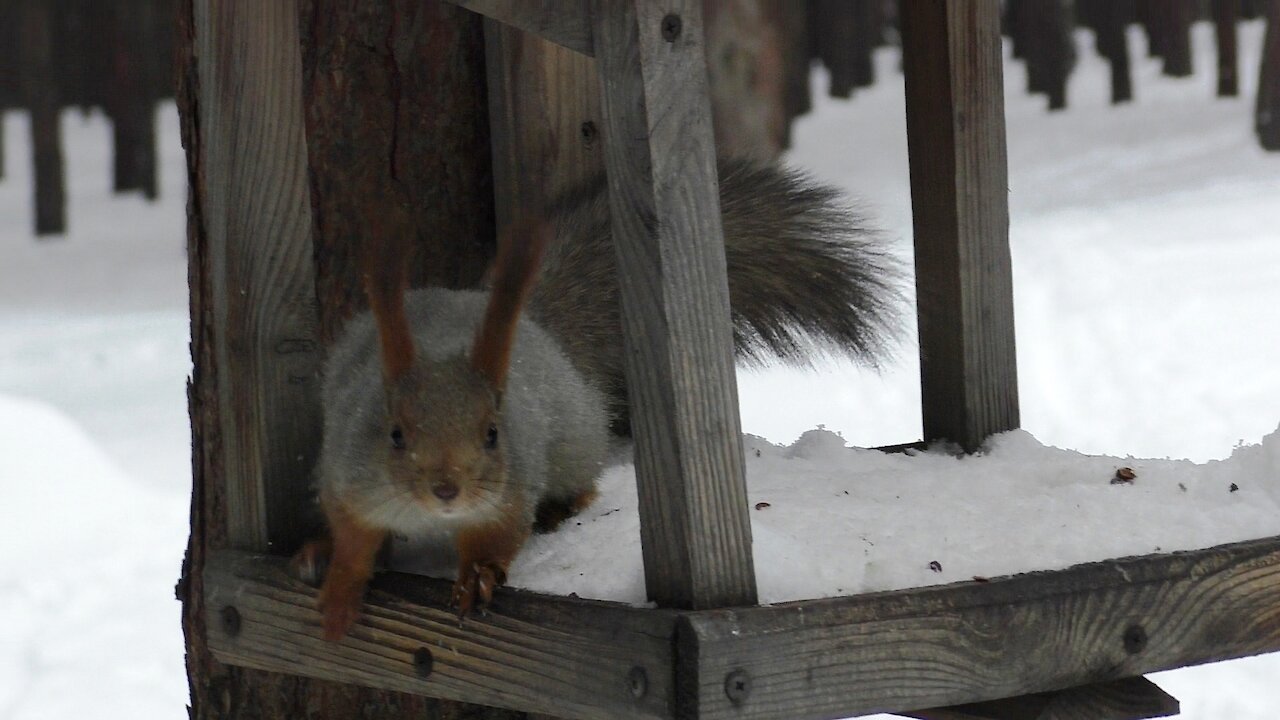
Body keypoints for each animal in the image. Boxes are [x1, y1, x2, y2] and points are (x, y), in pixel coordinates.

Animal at [296, 156, 901, 638]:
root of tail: (540, 335)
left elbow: (496, 536)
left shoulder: (510, 489)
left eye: (492, 433)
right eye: (395, 434)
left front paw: (478, 578)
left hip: (571, 444)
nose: (447, 489)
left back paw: (561, 506)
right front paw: (339, 584)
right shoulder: (350, 478)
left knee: (582, 480)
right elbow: (353, 537)